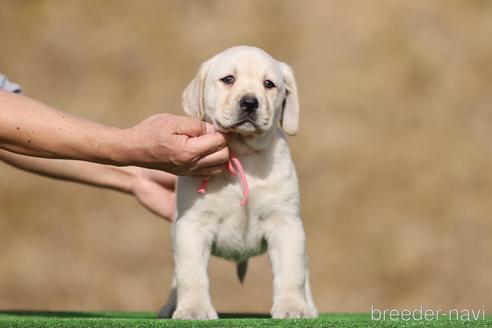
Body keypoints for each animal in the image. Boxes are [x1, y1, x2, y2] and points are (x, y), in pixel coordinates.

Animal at [160, 46, 318, 320]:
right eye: (228, 79)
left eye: (269, 84)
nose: (250, 102)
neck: (242, 153)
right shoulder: (192, 226)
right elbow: (191, 275)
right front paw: (194, 309)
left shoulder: (285, 223)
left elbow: (291, 272)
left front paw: (292, 306)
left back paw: (308, 306)